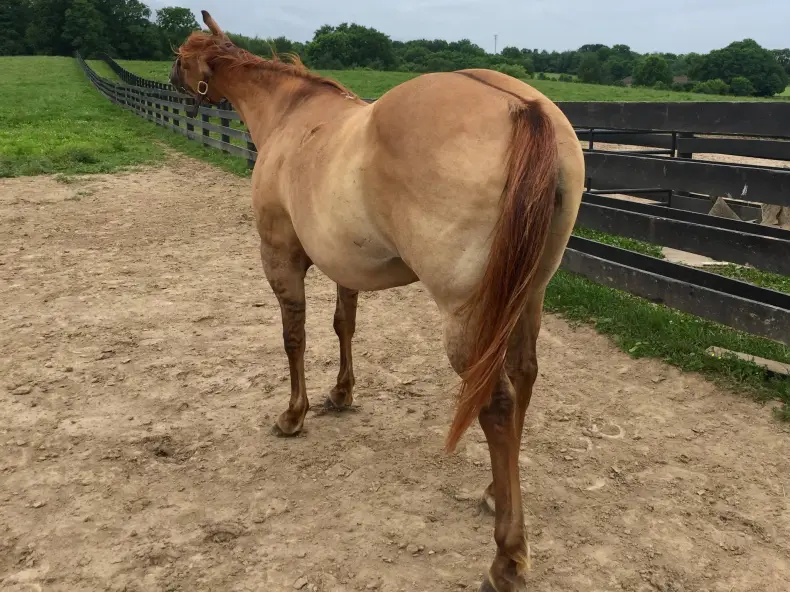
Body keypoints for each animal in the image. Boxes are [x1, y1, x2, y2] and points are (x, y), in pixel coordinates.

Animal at [171, 11, 585, 591]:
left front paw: (293, 415)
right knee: (524, 375)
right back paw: (493, 494)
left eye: (181, 55)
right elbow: (344, 324)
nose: (172, 81)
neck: (291, 115)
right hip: (527, 296)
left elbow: (294, 337)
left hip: (469, 318)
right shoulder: (345, 265)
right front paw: (341, 394)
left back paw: (507, 556)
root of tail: (524, 109)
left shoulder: (280, 257)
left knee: (497, 403)